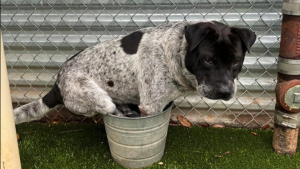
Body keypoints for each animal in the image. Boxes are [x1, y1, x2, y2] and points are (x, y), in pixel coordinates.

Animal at [12, 20, 255, 124]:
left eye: (236, 61)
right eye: (208, 60)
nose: (224, 91)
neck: (174, 53)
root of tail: (57, 84)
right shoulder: (151, 107)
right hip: (96, 97)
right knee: (109, 109)